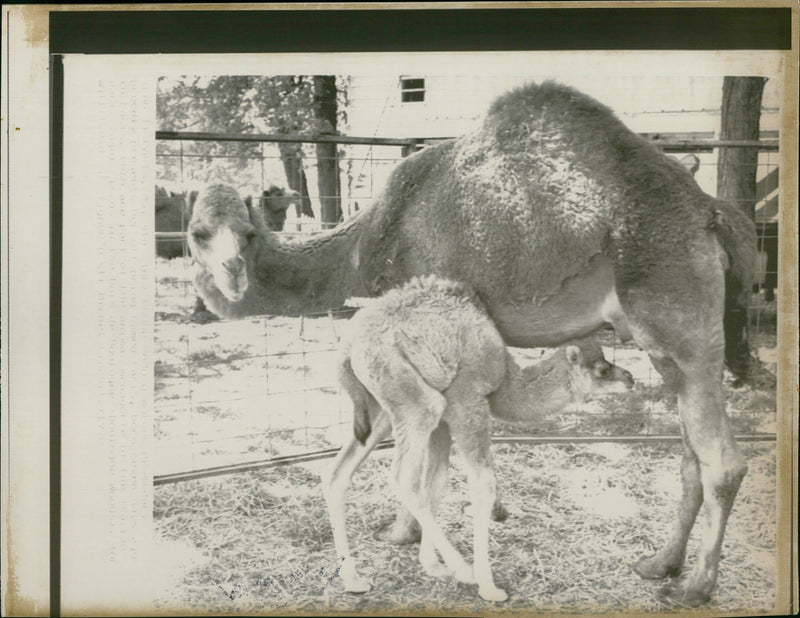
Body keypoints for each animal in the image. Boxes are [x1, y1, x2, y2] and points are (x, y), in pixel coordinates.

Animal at [328, 276, 636, 600]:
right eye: (603, 370)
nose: (630, 378)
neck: (505, 377)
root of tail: (345, 348)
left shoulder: (445, 421)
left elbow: (437, 481)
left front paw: (432, 565)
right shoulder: (466, 401)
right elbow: (483, 485)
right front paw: (488, 586)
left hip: (382, 408)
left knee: (338, 472)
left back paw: (354, 581)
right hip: (412, 397)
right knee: (404, 478)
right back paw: (465, 571)